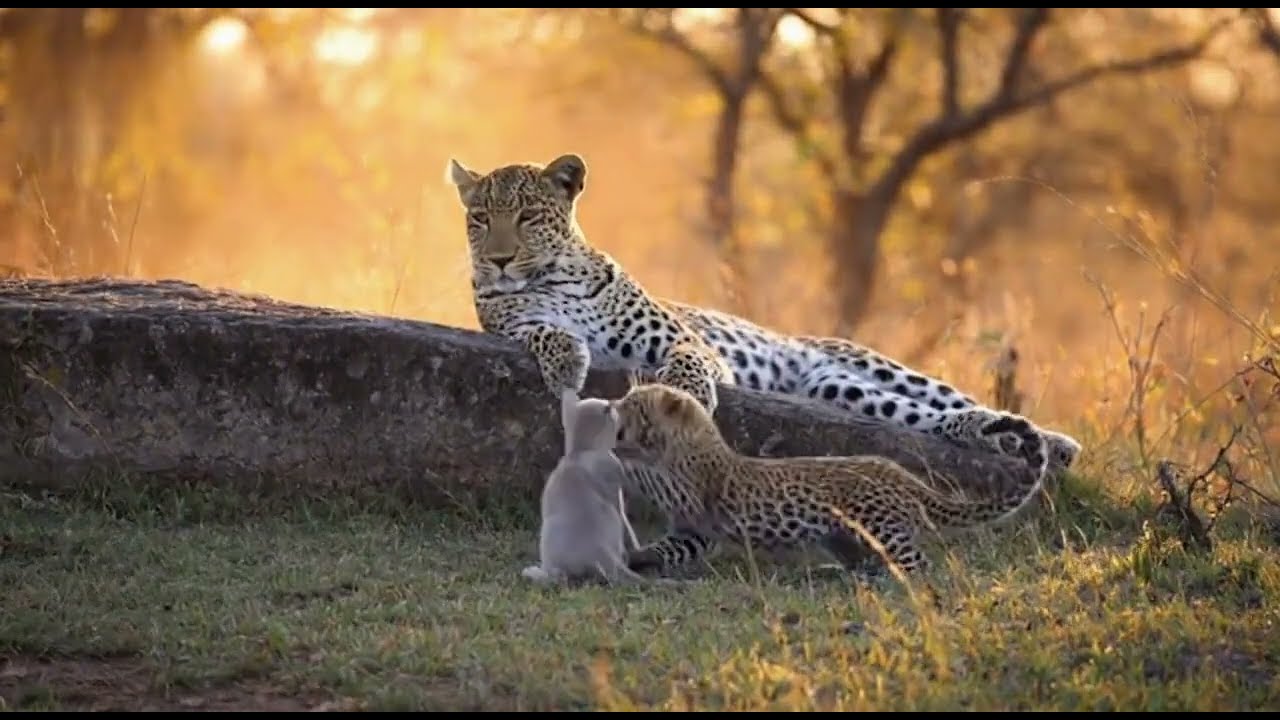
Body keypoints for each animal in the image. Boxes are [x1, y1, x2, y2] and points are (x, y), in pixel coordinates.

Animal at [445, 152, 1082, 474]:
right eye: (479, 219)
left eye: (528, 216)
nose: (499, 259)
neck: (558, 276)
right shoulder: (513, 323)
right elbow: (546, 333)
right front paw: (565, 363)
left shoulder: (684, 341)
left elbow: (688, 359)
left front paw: (688, 395)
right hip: (838, 389)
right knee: (928, 417)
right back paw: (1009, 440)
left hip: (872, 366)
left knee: (951, 397)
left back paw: (1053, 442)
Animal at [608, 383, 1053, 576]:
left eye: (634, 403)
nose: (613, 403)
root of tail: (908, 480)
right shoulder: (693, 532)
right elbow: (666, 547)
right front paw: (638, 558)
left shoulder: (687, 487)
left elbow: (644, 470)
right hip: (843, 537)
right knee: (864, 559)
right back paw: (847, 572)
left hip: (882, 527)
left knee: (920, 562)